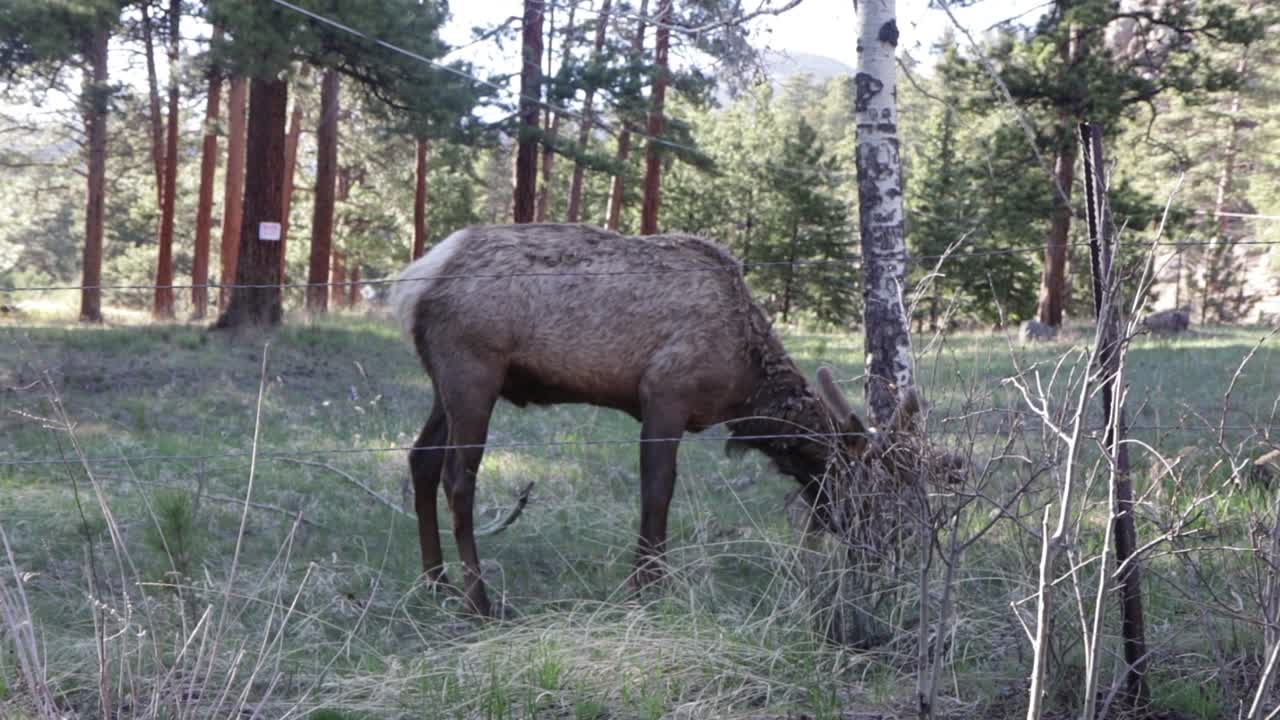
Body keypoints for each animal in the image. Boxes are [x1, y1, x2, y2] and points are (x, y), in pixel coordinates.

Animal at [392, 223, 958, 616]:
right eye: (871, 488)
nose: (882, 550)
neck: (744, 389)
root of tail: (414, 281)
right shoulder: (666, 393)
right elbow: (658, 491)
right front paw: (646, 585)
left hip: (443, 383)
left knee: (420, 460)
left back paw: (435, 582)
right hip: (473, 371)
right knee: (458, 478)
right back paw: (481, 602)